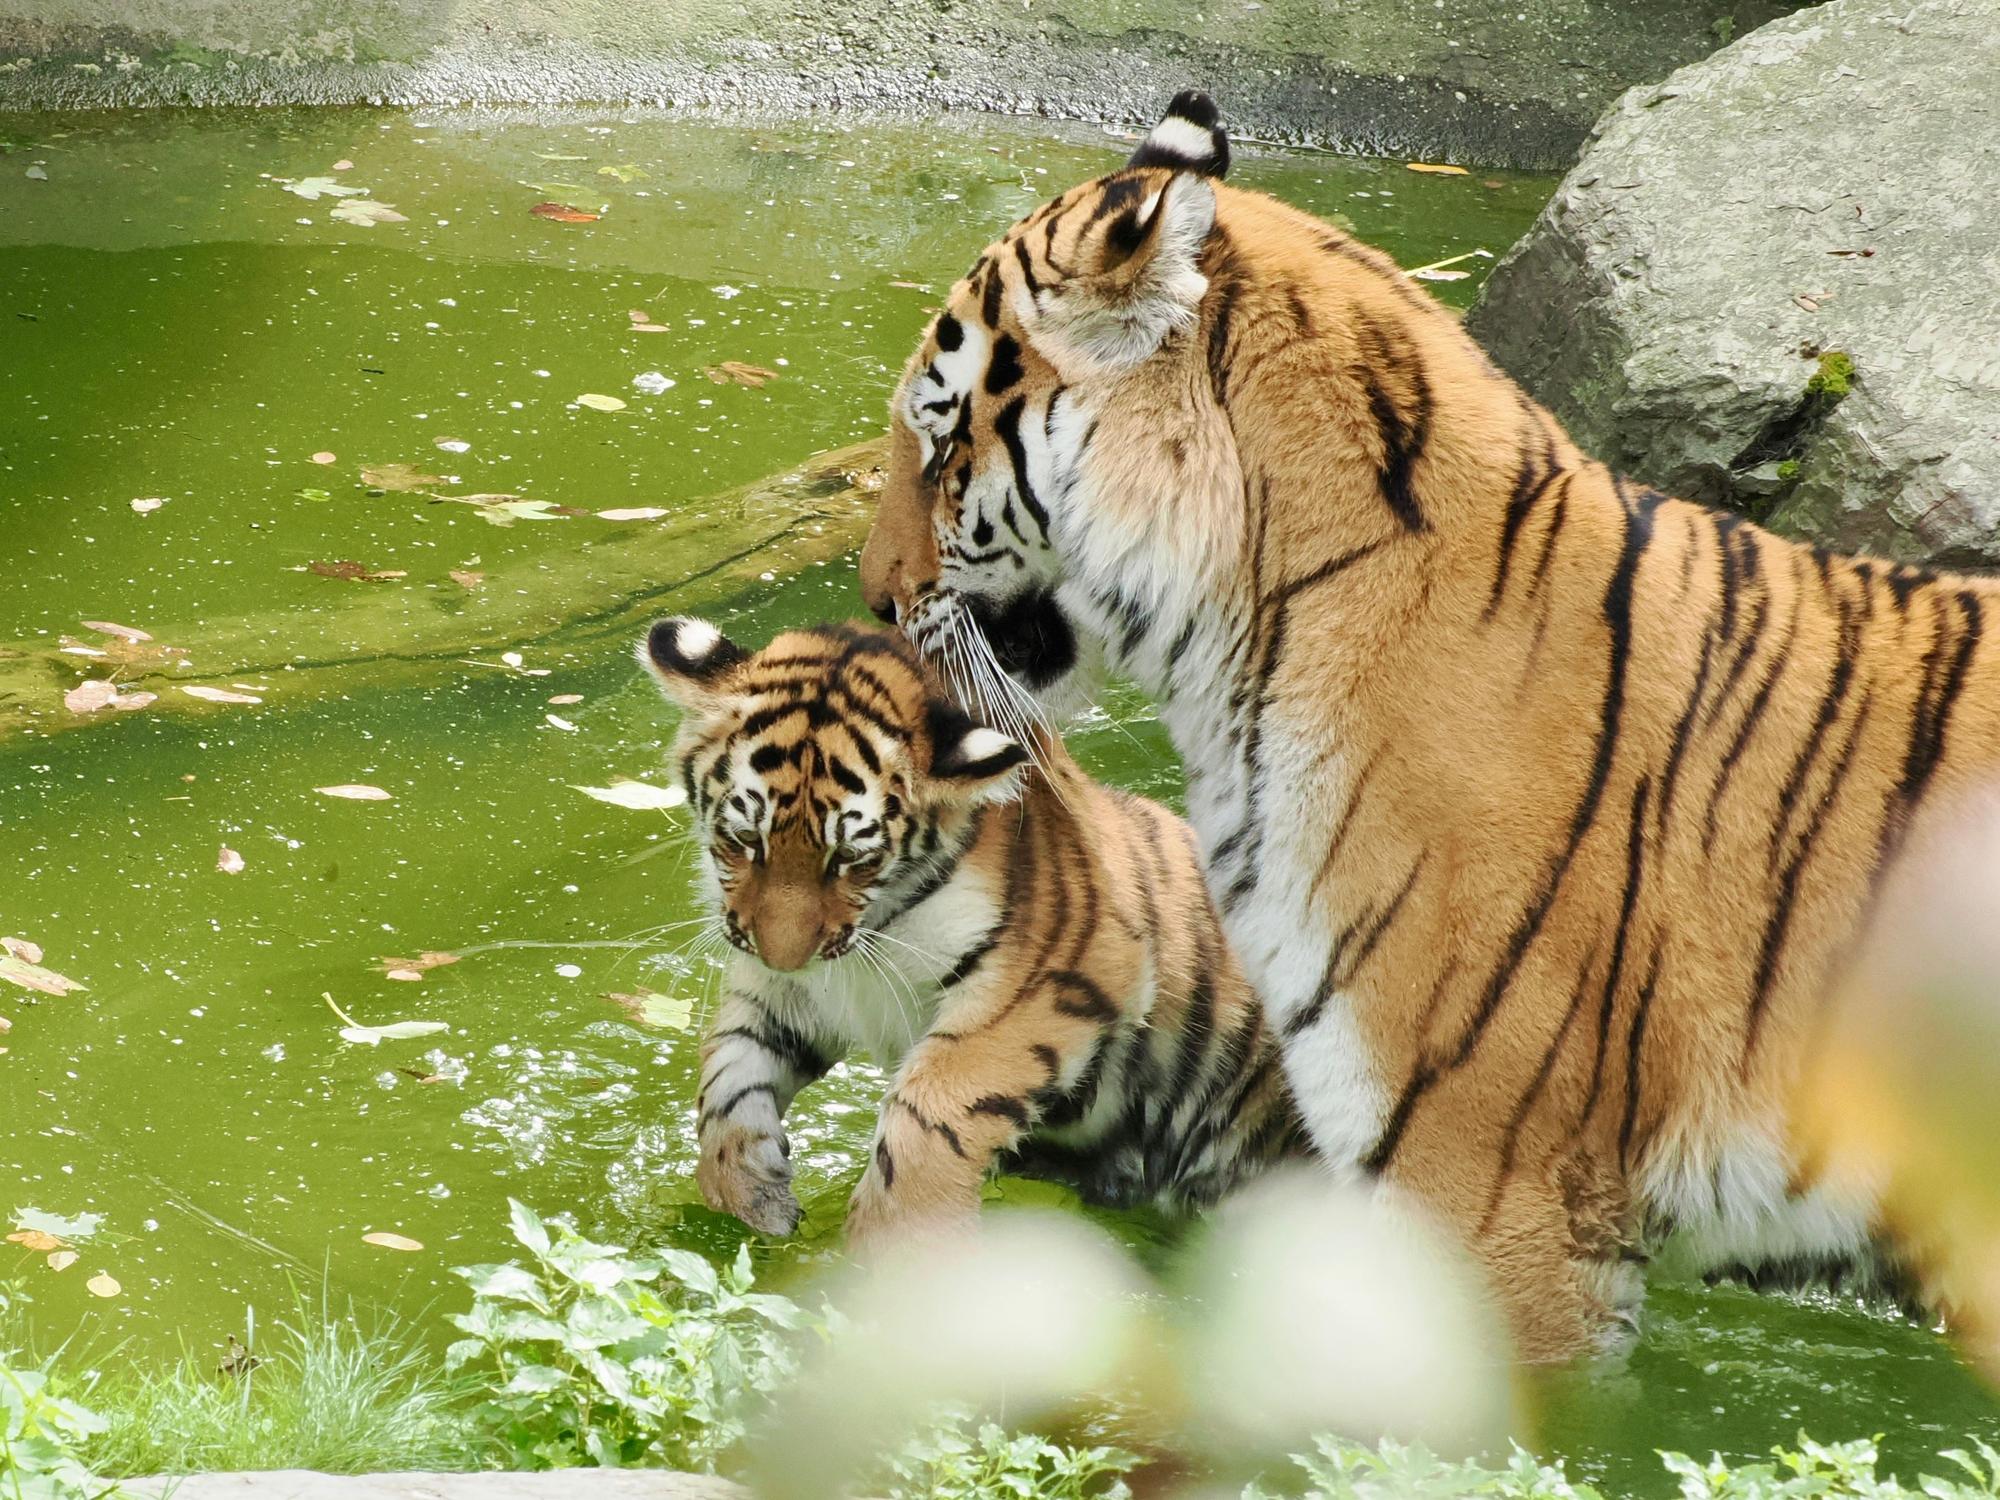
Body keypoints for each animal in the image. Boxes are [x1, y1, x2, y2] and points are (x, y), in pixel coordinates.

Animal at [637, 615, 1306, 1247]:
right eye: (745, 839)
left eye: (851, 858)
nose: (785, 956)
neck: (867, 934)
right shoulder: (784, 991)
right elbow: (727, 1074)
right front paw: (746, 1188)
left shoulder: (1060, 974)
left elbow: (930, 1109)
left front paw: (897, 1244)